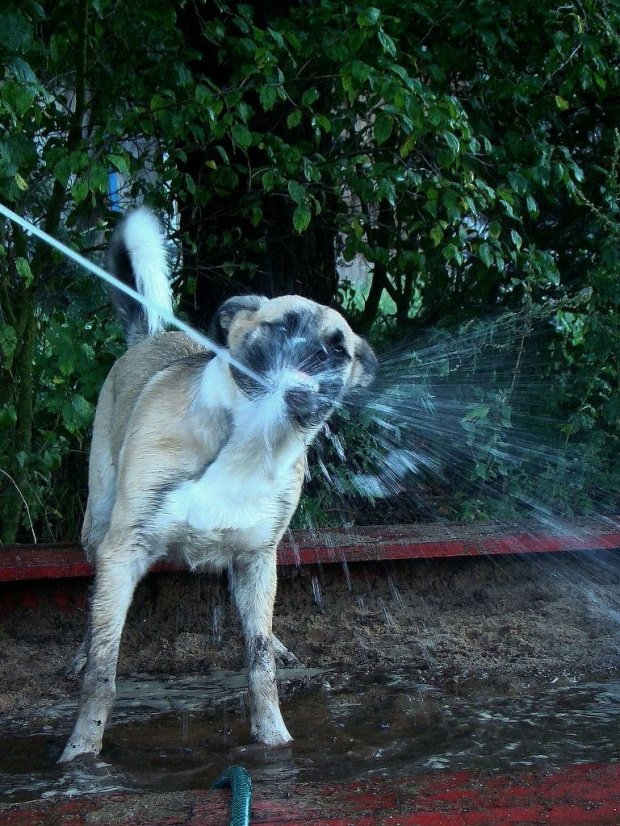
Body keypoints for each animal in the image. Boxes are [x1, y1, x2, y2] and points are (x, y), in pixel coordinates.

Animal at [59, 209, 378, 764]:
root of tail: (148, 337)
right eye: (280, 327)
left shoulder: (256, 558)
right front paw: (81, 752)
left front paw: (274, 739)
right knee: (94, 612)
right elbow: (103, 671)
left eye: (338, 351)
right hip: (97, 526)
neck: (249, 438)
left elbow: (259, 665)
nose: (310, 364)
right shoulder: (124, 550)